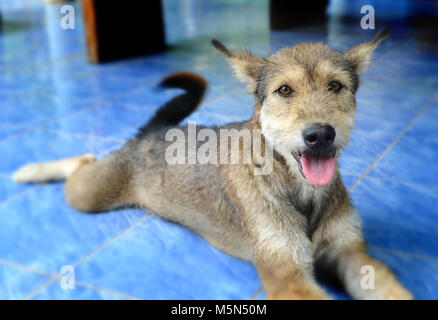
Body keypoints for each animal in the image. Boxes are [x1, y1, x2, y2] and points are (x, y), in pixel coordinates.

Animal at [12, 28, 412, 300]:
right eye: (284, 90)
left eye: (336, 86)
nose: (320, 135)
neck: (300, 191)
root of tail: (155, 129)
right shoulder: (287, 273)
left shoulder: (351, 254)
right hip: (89, 194)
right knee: (82, 162)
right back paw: (30, 171)